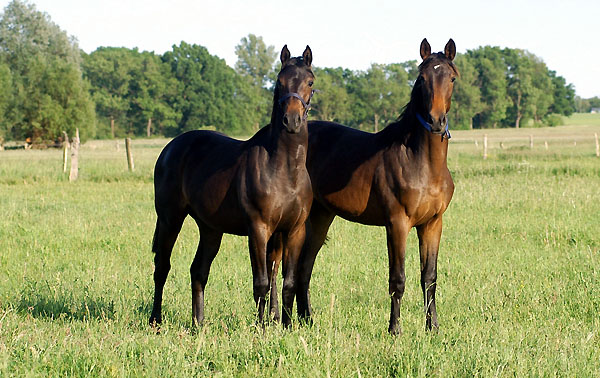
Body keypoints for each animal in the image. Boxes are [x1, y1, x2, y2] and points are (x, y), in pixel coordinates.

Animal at [150, 45, 316, 328]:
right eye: (279, 82)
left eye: (310, 82)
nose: (291, 121)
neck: (284, 170)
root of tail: (171, 147)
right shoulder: (258, 229)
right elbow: (261, 282)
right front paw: (261, 328)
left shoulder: (295, 231)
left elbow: (288, 283)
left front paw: (285, 325)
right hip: (170, 219)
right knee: (162, 266)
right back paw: (155, 321)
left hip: (210, 228)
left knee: (198, 270)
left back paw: (198, 323)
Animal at [270, 37, 458, 334]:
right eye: (423, 78)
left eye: (451, 77)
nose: (436, 121)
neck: (422, 162)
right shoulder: (397, 224)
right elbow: (397, 279)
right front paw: (394, 329)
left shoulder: (433, 224)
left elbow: (430, 277)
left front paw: (433, 328)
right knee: (279, 266)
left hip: (320, 217)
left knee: (303, 268)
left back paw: (307, 320)